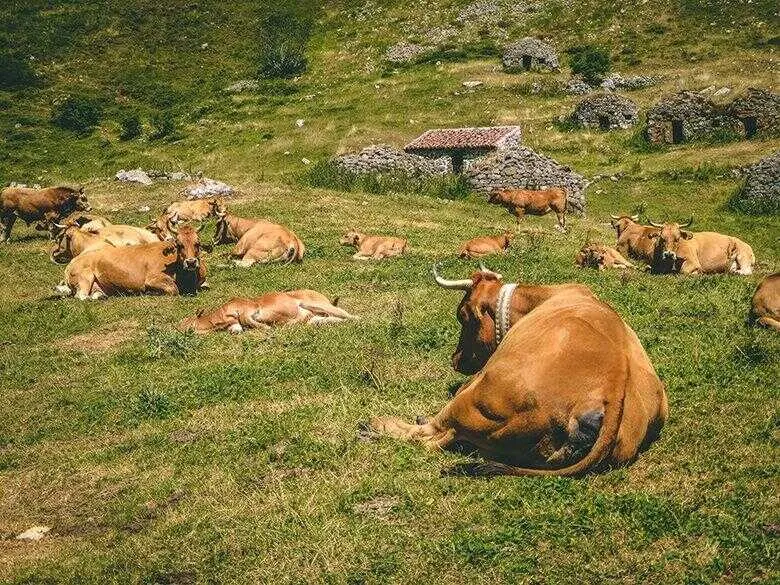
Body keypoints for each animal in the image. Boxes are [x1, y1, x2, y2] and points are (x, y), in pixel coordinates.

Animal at [54, 224, 206, 300]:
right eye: (179, 245)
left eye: (197, 243)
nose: (191, 262)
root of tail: (72, 262)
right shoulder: (152, 279)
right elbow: (173, 289)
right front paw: (150, 292)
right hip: (84, 279)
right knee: (81, 296)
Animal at [369, 264, 668, 477]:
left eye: (462, 316)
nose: (455, 360)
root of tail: (614, 386)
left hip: (474, 402)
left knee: (430, 437)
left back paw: (378, 426)